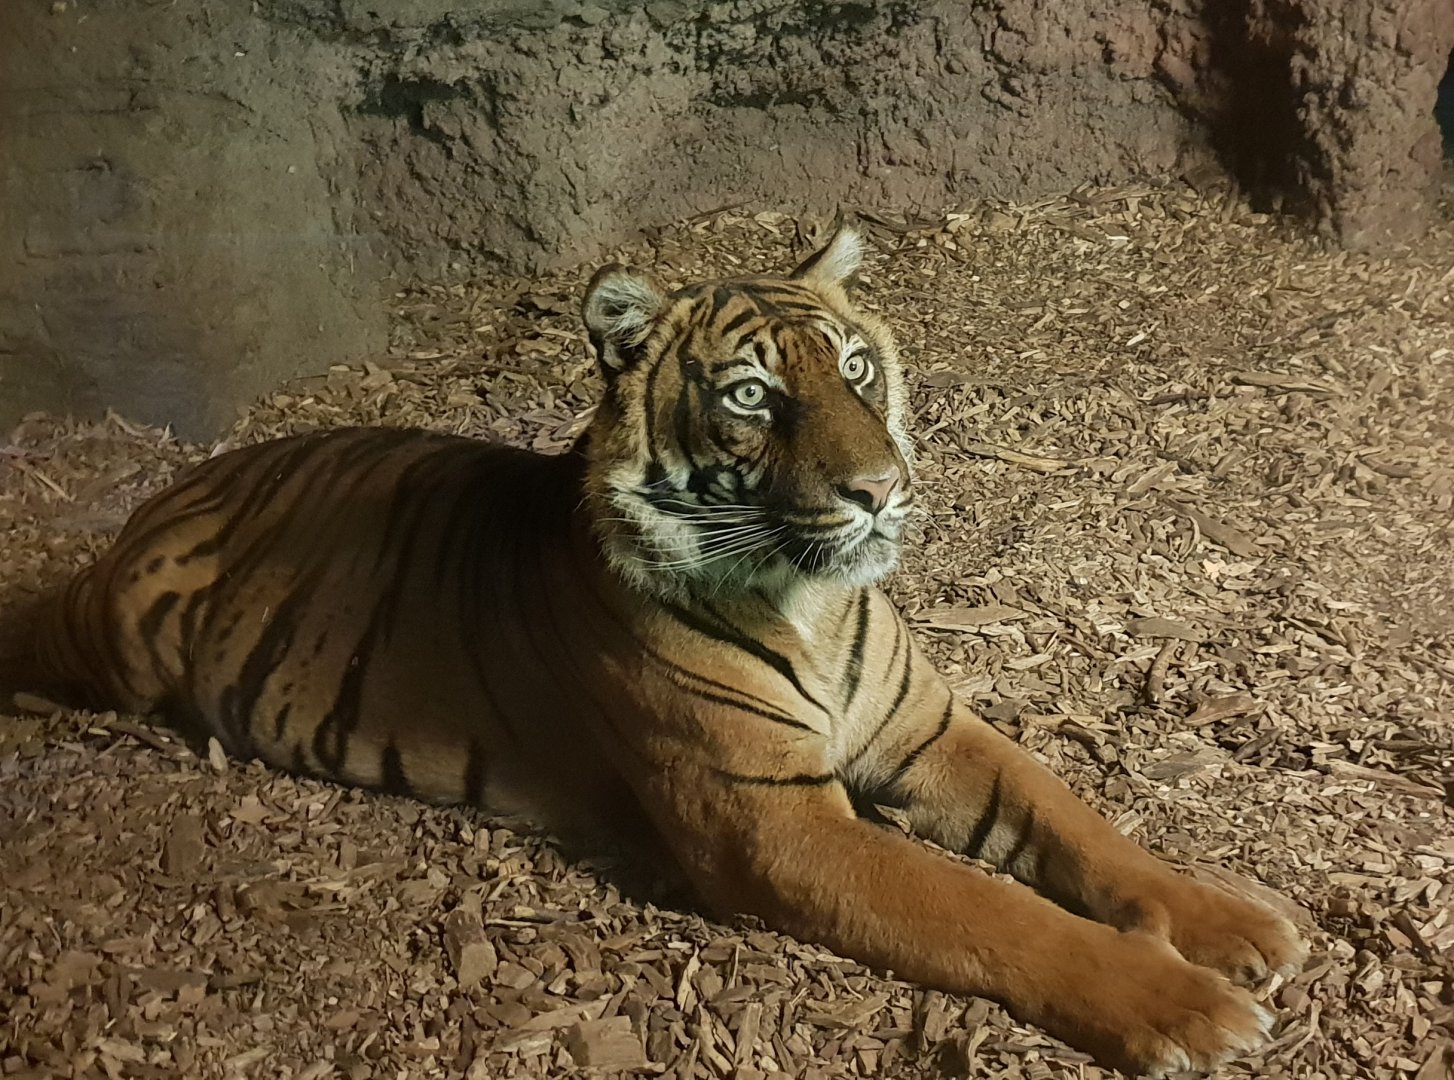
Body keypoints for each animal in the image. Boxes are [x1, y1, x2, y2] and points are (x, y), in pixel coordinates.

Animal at [5, 228, 1307, 1076]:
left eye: (855, 369)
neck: (811, 601)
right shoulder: (775, 822)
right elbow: (990, 907)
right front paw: (1183, 1008)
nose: (880, 491)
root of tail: (171, 488)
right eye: (750, 397)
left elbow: (1073, 824)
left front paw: (1234, 926)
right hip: (118, 633)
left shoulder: (931, 731)